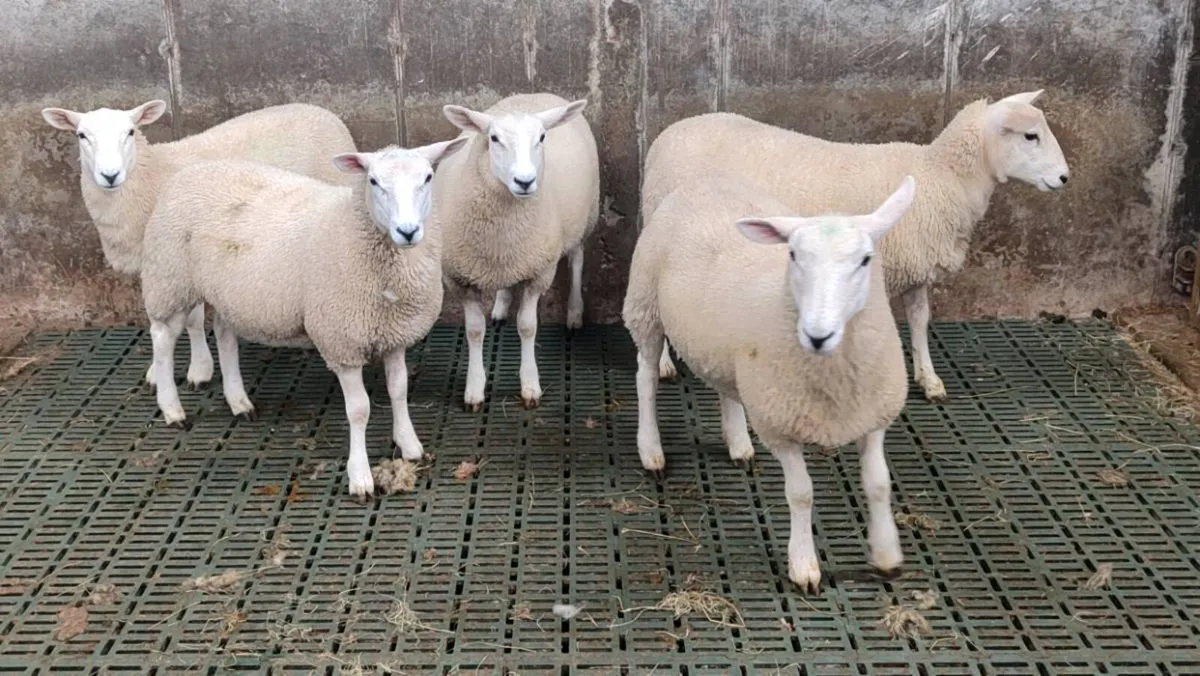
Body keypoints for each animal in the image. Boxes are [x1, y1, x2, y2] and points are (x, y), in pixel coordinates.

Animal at [41, 100, 358, 390]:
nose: (109, 175)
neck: (150, 173)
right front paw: (159, 369)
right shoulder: (158, 264)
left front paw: (199, 369)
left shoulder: (181, 257)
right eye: (82, 135)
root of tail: (319, 110)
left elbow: (193, 321)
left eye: (130, 132)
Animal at [138, 138, 469, 497]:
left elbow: (398, 390)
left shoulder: (393, 334)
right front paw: (360, 476)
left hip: (232, 291)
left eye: (427, 177)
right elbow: (359, 410)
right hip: (170, 279)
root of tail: (192, 171)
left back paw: (239, 401)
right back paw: (172, 409)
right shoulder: (341, 341)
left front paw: (409, 445)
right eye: (373, 181)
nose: (407, 231)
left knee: (224, 335)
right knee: (162, 339)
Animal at [433, 93, 600, 411]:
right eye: (494, 138)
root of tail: (536, 94)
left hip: (583, 220)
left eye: (542, 137)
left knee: (577, 260)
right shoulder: (459, 278)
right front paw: (474, 389)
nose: (525, 181)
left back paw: (574, 313)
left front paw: (530, 386)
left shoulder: (540, 272)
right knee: (507, 283)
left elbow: (527, 326)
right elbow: (474, 331)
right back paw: (500, 307)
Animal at [622, 174, 918, 592]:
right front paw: (804, 565)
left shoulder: (874, 416)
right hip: (645, 305)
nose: (817, 334)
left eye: (865, 259)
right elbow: (801, 494)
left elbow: (878, 483)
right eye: (793, 255)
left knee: (726, 388)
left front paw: (887, 555)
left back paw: (738, 443)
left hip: (723, 348)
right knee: (646, 376)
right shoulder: (779, 427)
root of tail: (707, 183)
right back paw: (651, 450)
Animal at [642, 90, 1070, 409]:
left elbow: (919, 320)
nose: (1066, 177)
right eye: (1030, 136)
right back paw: (663, 363)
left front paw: (929, 378)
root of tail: (667, 135)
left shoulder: (915, 267)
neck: (942, 176)